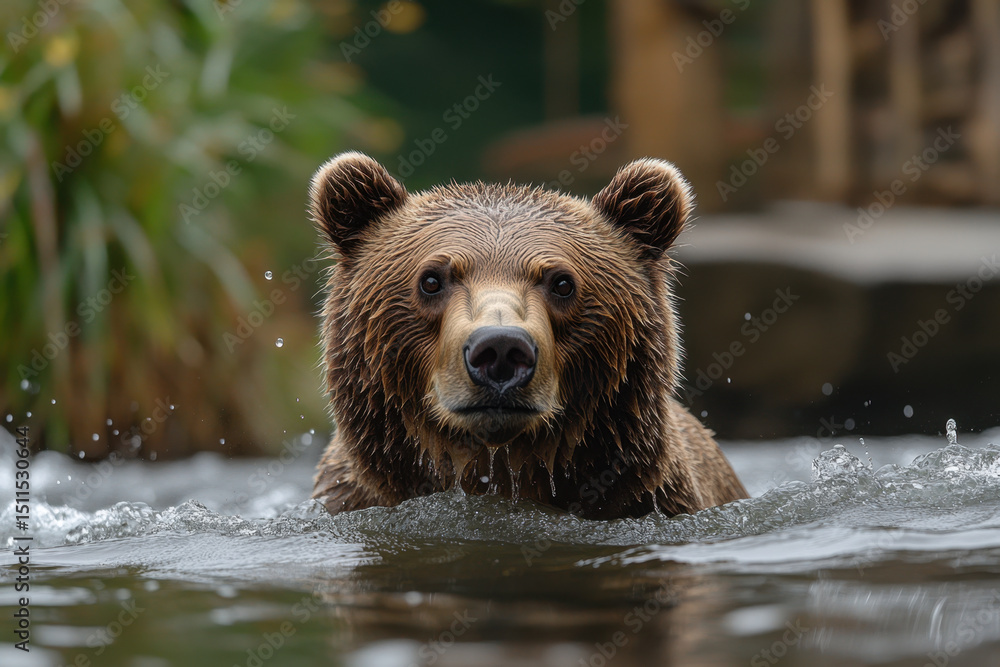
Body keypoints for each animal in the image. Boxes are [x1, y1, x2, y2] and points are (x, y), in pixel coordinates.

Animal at [308, 152, 747, 520]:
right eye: (431, 279)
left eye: (563, 282)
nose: (501, 348)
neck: (498, 471)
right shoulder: (350, 496)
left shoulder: (651, 498)